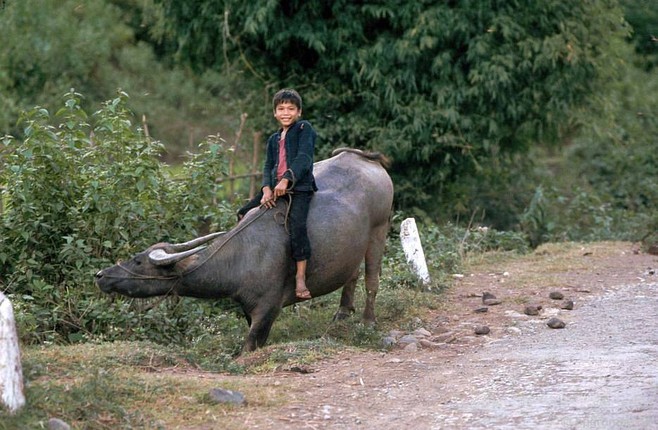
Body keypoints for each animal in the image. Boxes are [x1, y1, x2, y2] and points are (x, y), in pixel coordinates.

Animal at [95, 148, 392, 352]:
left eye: (138, 261)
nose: (101, 275)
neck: (243, 257)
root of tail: (365, 159)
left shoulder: (267, 309)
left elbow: (248, 347)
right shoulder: (248, 308)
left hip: (380, 230)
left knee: (372, 279)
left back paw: (368, 321)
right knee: (351, 274)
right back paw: (342, 314)